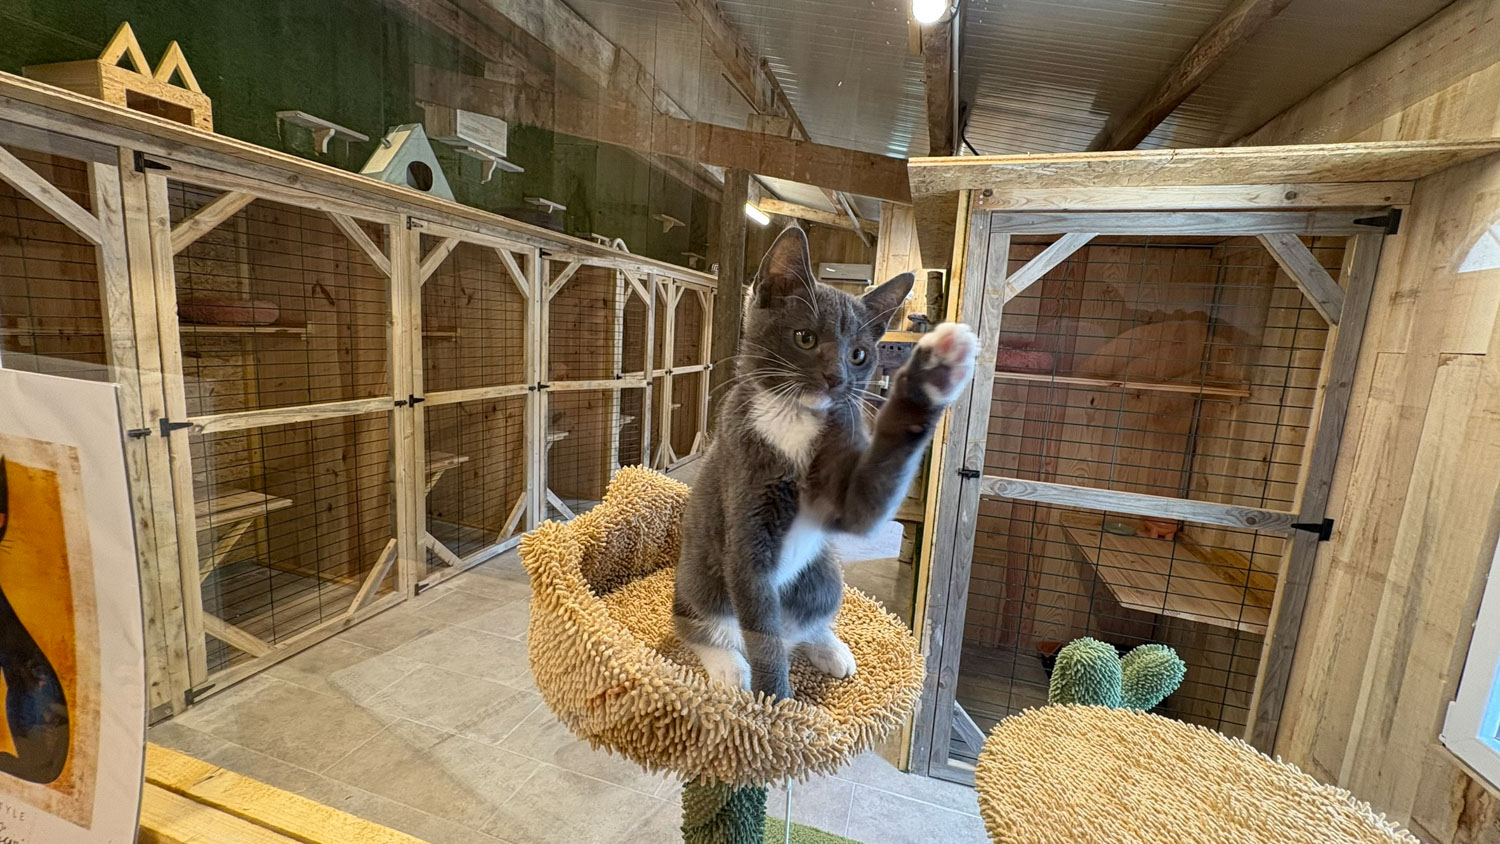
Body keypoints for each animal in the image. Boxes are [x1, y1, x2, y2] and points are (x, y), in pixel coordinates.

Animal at [673, 227, 977, 700]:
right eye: (805, 338)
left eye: (859, 355)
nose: (837, 378)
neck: (795, 417)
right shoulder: (744, 525)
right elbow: (761, 631)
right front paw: (775, 703)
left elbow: (870, 496)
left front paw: (934, 375)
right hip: (700, 577)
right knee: (707, 623)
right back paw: (730, 669)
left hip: (823, 576)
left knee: (802, 623)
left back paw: (829, 648)